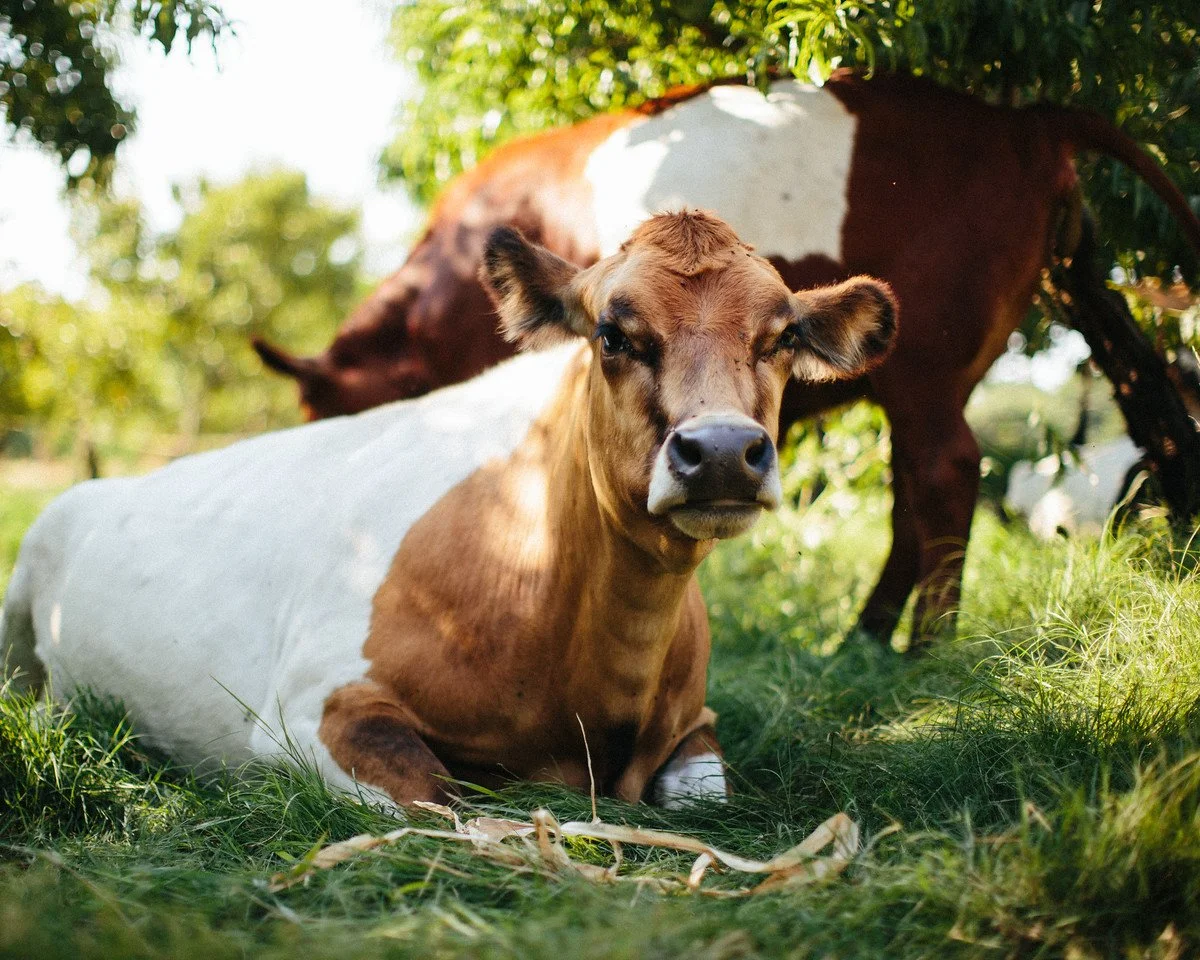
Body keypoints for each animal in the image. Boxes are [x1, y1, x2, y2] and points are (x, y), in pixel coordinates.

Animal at [1, 211, 897, 807]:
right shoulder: (314, 709)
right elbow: (457, 810)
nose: (719, 450)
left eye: (782, 336)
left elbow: (708, 796)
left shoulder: (694, 722)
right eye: (612, 333)